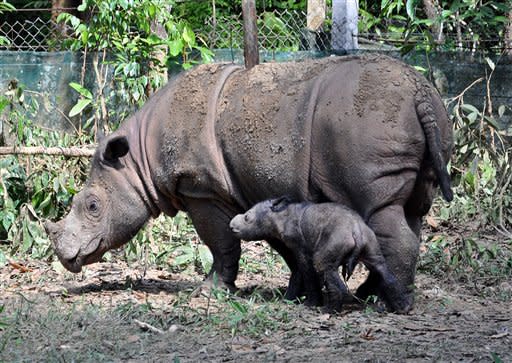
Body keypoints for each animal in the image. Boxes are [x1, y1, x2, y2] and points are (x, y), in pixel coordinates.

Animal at [229, 198, 412, 314]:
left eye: (247, 218)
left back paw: (327, 310)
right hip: (369, 239)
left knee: (325, 266)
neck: (279, 215)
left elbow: (305, 272)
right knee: (381, 268)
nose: (231, 226)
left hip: (337, 239)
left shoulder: (300, 246)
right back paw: (403, 308)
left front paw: (309, 304)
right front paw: (289, 300)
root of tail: (356, 231)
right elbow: (298, 273)